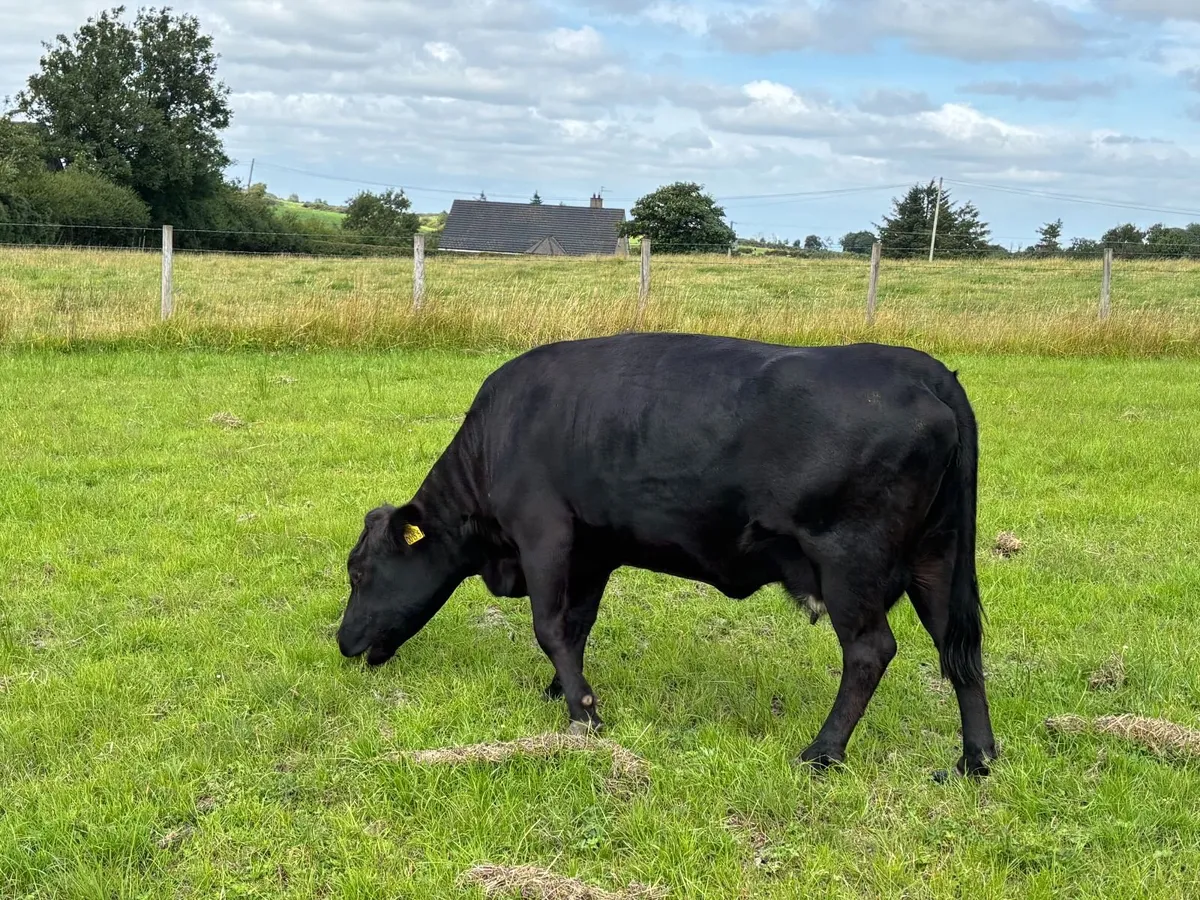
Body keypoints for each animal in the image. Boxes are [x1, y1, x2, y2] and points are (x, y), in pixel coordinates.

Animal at [336, 333, 998, 777]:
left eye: (359, 572)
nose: (342, 642)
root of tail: (919, 366)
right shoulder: (594, 549)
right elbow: (576, 625)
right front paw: (563, 693)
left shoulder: (544, 531)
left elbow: (549, 626)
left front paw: (584, 715)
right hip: (935, 559)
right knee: (958, 648)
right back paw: (975, 760)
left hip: (849, 563)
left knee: (870, 651)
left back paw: (822, 752)